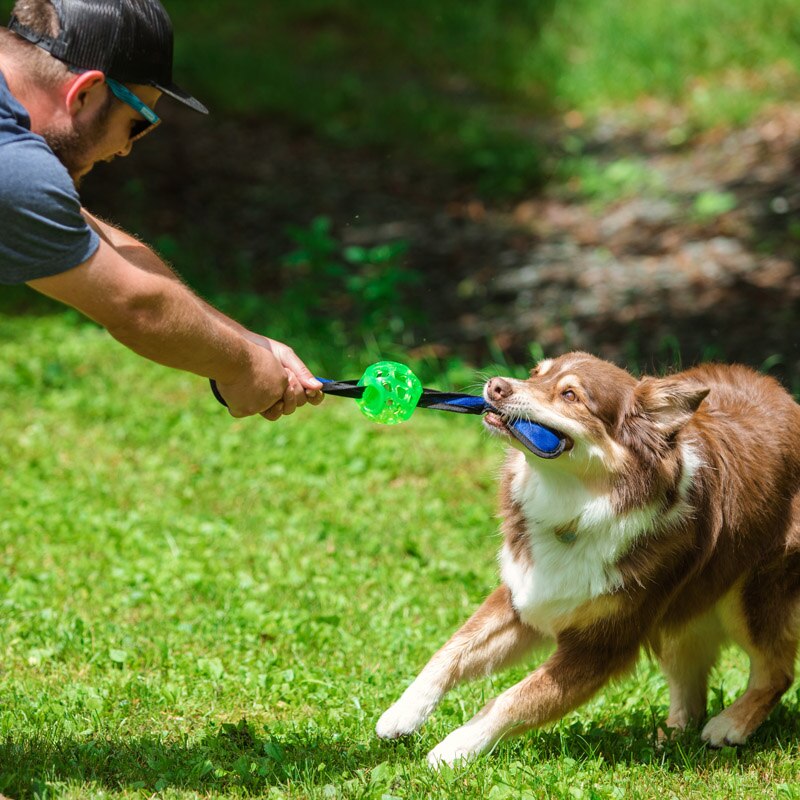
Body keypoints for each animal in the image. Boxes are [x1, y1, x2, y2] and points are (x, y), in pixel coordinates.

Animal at [374, 354, 800, 764]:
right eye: (536, 372)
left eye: (570, 395)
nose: (495, 385)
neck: (576, 507)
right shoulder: (524, 595)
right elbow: (451, 651)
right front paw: (403, 712)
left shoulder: (600, 645)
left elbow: (513, 699)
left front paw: (453, 750)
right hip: (679, 611)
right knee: (692, 689)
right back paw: (670, 737)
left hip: (750, 595)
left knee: (777, 672)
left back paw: (730, 725)